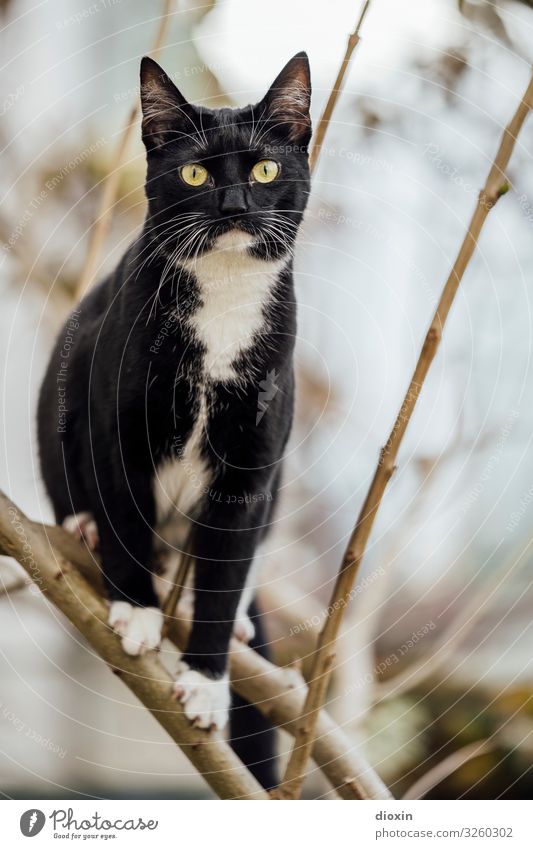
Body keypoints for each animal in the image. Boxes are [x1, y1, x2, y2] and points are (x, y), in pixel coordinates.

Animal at [36, 51, 312, 780]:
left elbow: (227, 563)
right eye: (194, 173)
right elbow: (122, 501)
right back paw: (84, 528)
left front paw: (207, 685)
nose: (234, 203)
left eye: (264, 170)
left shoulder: (253, 455)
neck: (223, 307)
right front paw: (135, 612)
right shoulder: (115, 418)